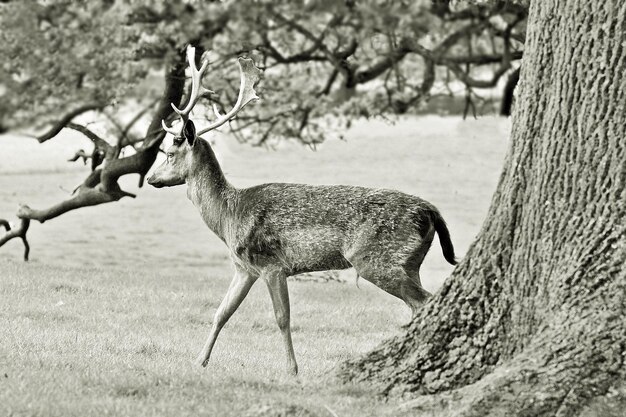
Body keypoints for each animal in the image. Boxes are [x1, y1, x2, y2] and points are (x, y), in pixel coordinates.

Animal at [149, 45, 456, 374]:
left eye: (169, 152)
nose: (151, 178)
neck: (228, 216)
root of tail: (432, 212)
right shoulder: (244, 268)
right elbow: (221, 312)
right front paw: (199, 361)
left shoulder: (271, 263)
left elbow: (282, 318)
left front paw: (292, 370)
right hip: (410, 262)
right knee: (421, 302)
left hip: (376, 259)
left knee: (423, 301)